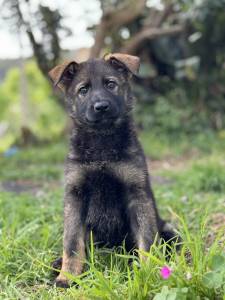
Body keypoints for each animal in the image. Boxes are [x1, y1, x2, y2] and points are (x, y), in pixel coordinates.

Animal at [48, 52, 178, 288]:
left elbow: (147, 240)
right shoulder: (75, 195)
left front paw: (150, 272)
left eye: (111, 84)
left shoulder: (137, 194)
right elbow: (71, 242)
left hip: (168, 232)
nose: (101, 106)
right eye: (83, 90)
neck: (102, 142)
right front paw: (67, 276)